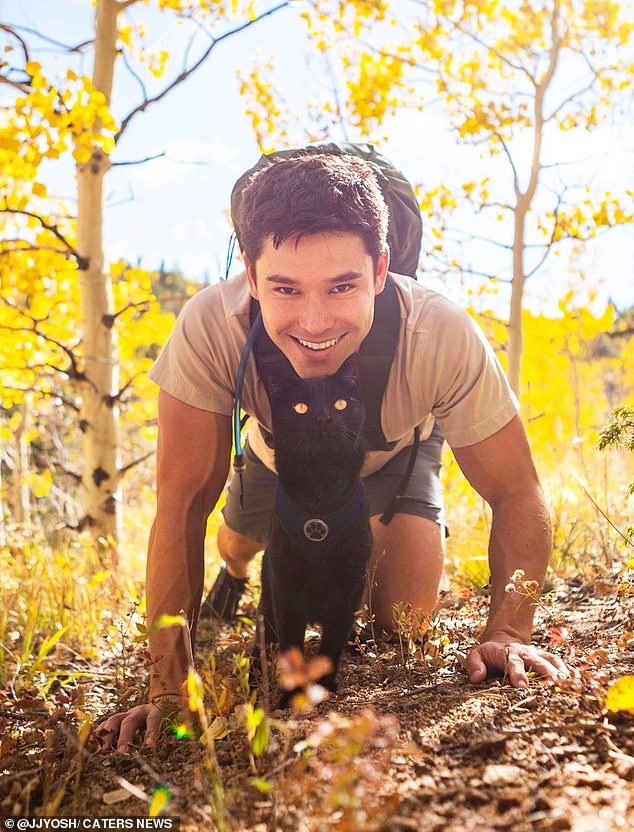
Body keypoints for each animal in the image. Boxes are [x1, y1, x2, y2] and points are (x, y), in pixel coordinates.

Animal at [253, 352, 370, 704]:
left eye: (340, 403)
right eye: (301, 408)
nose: (323, 418)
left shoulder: (349, 579)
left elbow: (332, 640)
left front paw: (326, 683)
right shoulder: (286, 581)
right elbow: (292, 640)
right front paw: (291, 695)